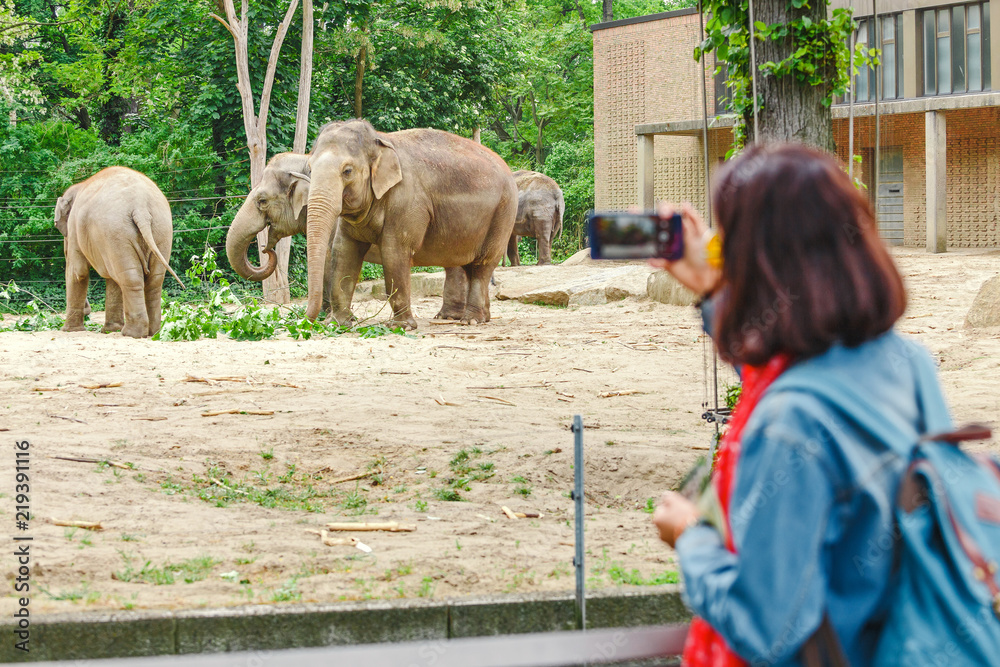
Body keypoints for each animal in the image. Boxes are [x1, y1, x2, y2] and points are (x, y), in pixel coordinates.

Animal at [54, 166, 184, 338]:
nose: (88, 310)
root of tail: (140, 205)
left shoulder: (75, 229)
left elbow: (78, 272)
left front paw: (69, 330)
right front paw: (110, 330)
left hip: (116, 230)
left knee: (130, 277)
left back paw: (131, 333)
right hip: (161, 229)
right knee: (153, 280)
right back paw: (153, 332)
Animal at [304, 119, 517, 330]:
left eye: (347, 171)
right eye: (310, 169)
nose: (306, 322)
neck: (379, 139)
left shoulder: (406, 200)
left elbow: (394, 252)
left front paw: (401, 327)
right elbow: (344, 251)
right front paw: (336, 324)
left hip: (503, 214)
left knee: (483, 264)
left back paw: (471, 320)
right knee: (464, 263)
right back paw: (468, 318)